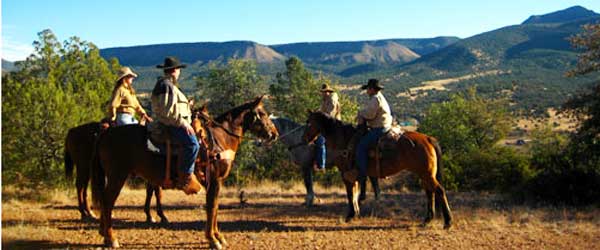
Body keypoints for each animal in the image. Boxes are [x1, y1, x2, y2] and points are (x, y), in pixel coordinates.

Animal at [90, 95, 278, 248]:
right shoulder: (214, 180)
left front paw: (219, 237)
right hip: (117, 175)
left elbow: (215, 207)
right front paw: (213, 239)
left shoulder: (216, 182)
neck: (219, 139)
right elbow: (212, 207)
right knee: (107, 202)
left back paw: (104, 234)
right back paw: (111, 238)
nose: (274, 134)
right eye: (262, 113)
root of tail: (105, 133)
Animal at [302, 111, 452, 229]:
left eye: (308, 123)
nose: (304, 139)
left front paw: (350, 215)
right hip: (424, 174)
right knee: (429, 193)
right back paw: (427, 220)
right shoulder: (353, 175)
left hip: (427, 174)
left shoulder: (346, 174)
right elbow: (355, 194)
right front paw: (356, 213)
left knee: (439, 191)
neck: (344, 139)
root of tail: (428, 138)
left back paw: (447, 222)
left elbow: (350, 194)